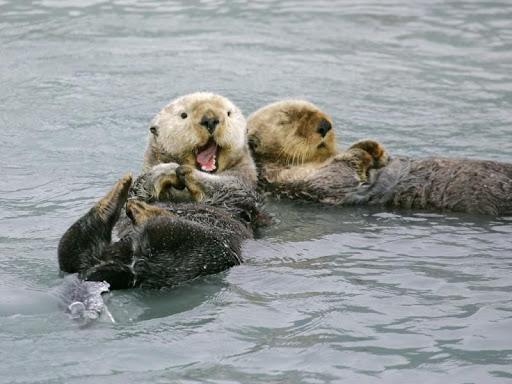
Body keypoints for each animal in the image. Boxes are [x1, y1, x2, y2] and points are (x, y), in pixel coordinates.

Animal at [246, 99, 510, 216]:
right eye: (286, 120)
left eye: (319, 110)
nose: (324, 125)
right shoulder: (290, 181)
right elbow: (336, 175)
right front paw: (362, 153)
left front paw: (374, 148)